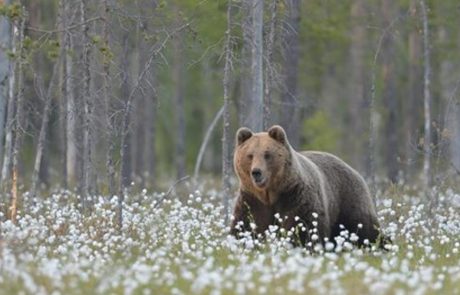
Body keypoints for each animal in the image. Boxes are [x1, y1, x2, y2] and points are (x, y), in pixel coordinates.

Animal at [230, 125, 384, 250]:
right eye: (250, 155)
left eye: (267, 154)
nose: (256, 172)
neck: (270, 194)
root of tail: (353, 170)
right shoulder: (252, 200)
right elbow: (245, 225)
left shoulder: (295, 197)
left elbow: (303, 226)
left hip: (348, 200)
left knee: (365, 228)